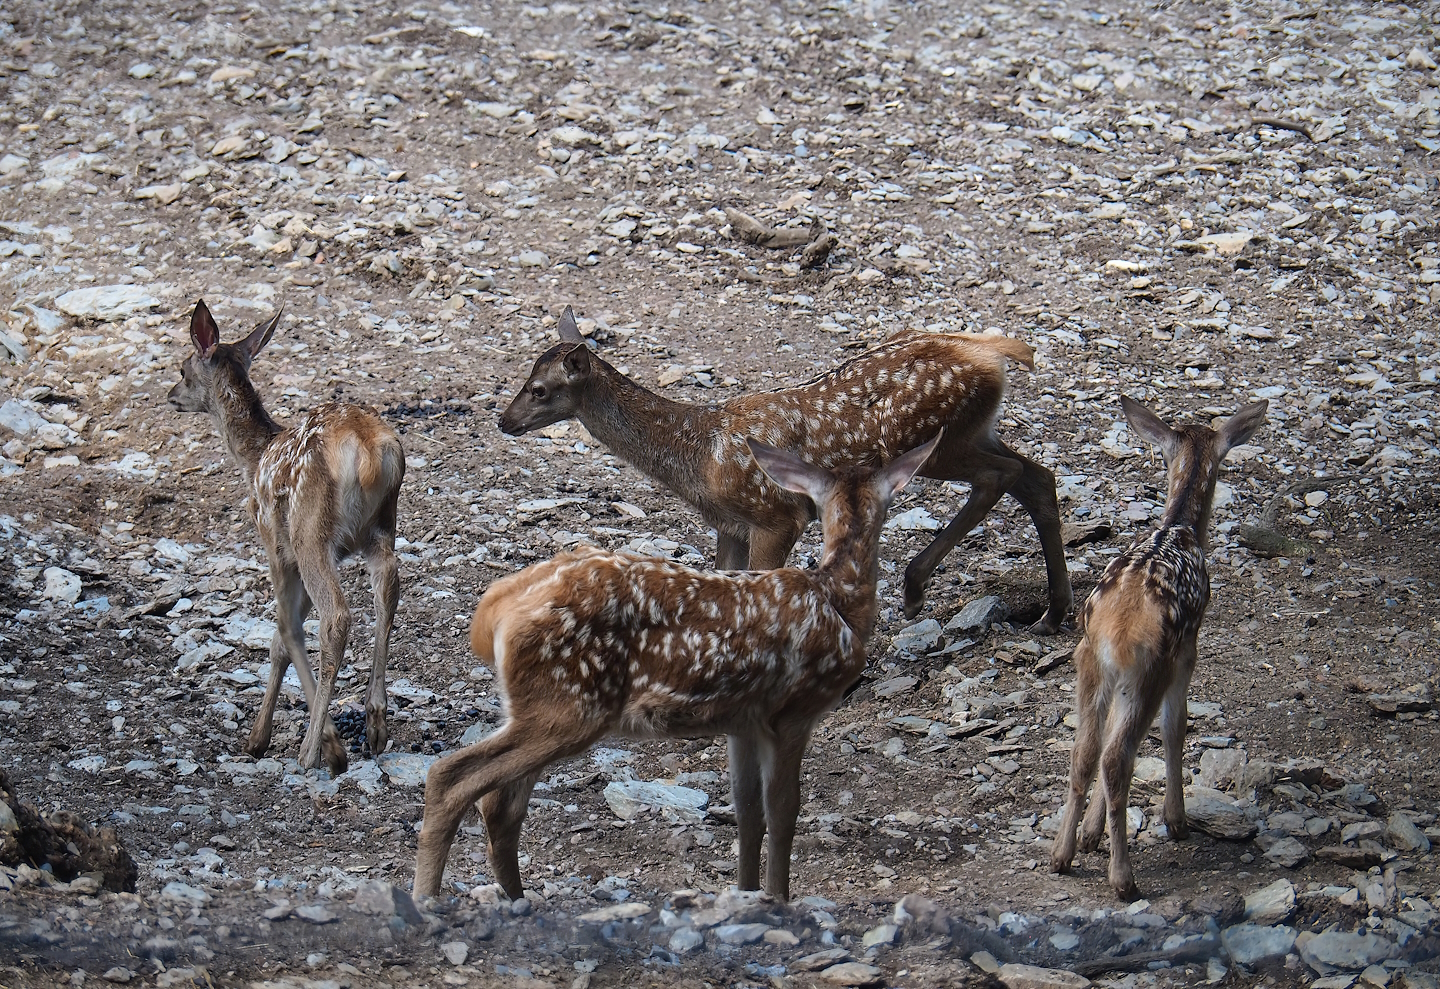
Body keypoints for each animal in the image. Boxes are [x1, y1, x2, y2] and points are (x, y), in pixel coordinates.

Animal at [167, 300, 405, 776]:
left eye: (183, 369)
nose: (170, 394)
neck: (254, 456)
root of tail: (370, 450)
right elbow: (279, 638)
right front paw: (258, 738)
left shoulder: (274, 543)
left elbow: (284, 629)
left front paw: (311, 742)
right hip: (381, 527)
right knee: (388, 588)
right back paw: (376, 723)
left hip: (309, 530)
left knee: (332, 618)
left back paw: (312, 751)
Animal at [413, 433, 941, 900]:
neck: (839, 601)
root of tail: (496, 608)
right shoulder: (794, 711)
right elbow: (783, 812)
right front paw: (780, 899)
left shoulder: (743, 722)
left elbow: (748, 812)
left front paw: (747, 893)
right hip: (567, 703)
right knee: (451, 778)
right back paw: (427, 897)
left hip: (538, 705)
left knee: (499, 803)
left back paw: (516, 899)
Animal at [499, 307, 1072, 633]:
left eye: (540, 389)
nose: (505, 421)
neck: (697, 454)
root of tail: (991, 351)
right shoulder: (730, 525)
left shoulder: (776, 515)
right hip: (974, 431)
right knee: (1037, 475)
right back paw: (1052, 613)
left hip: (937, 441)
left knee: (1002, 476)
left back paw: (915, 588)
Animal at [1050, 396, 1267, 900]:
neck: (1178, 528)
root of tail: (1116, 628)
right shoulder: (1189, 647)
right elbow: (1176, 726)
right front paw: (1177, 820)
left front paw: (1091, 834)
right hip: (1151, 667)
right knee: (1117, 757)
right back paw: (1124, 878)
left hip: (1089, 662)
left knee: (1086, 751)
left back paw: (1061, 855)